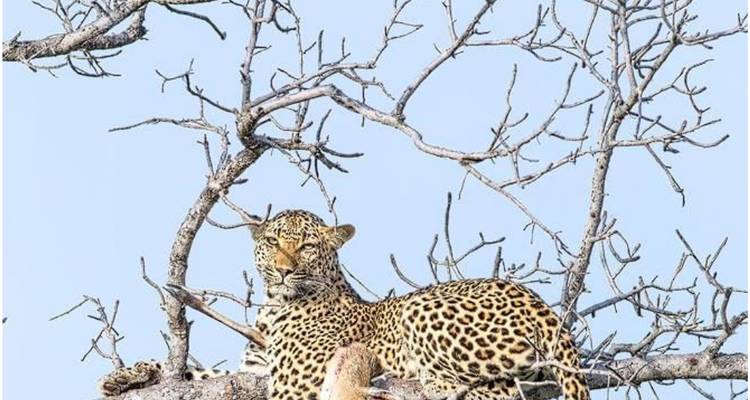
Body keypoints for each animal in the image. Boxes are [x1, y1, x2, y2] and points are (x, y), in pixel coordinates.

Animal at [100, 209, 590, 400]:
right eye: (273, 241)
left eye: (307, 245)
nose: (283, 270)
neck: (273, 306)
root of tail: (542, 306)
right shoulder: (254, 372)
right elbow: (193, 372)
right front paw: (128, 376)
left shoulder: (293, 386)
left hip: (420, 309)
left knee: (498, 389)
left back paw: (427, 380)